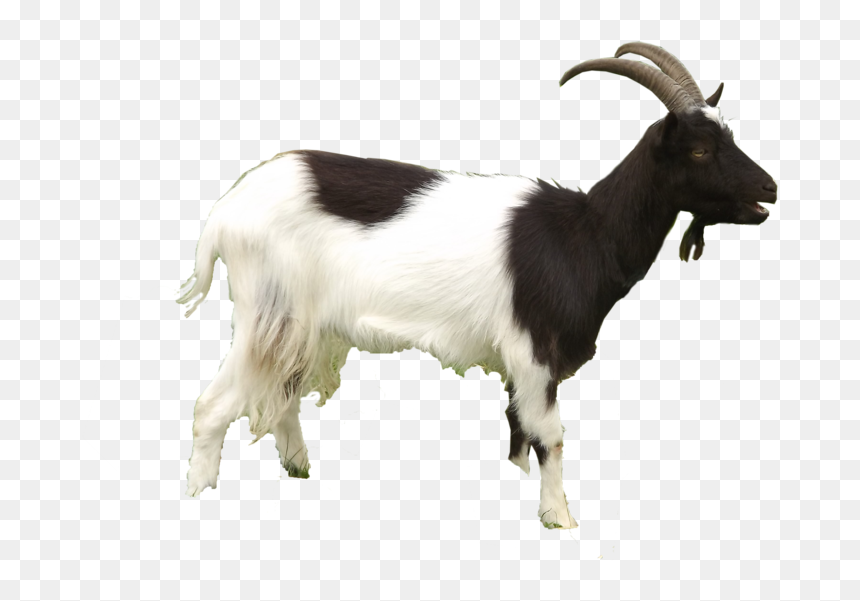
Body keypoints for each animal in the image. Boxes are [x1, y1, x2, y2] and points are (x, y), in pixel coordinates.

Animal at [178, 42, 777, 529]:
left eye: (727, 136)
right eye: (699, 150)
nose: (769, 189)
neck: (585, 233)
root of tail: (224, 213)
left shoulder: (519, 364)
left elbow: (518, 433)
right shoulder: (534, 349)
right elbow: (549, 436)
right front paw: (559, 518)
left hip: (304, 326)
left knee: (282, 400)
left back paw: (299, 469)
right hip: (270, 310)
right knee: (213, 405)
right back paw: (199, 496)